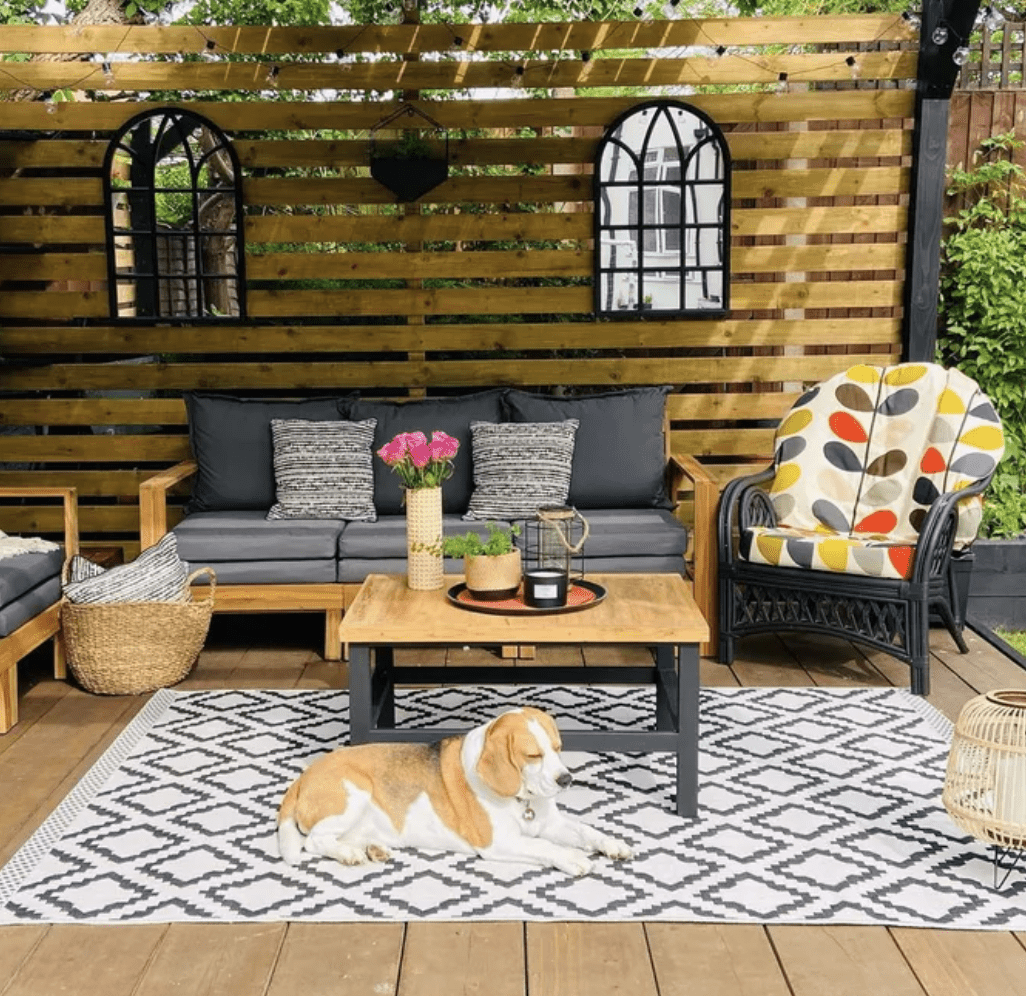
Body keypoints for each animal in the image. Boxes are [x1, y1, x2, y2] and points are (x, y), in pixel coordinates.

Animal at [281, 705, 632, 878]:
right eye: (533, 755)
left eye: (559, 747)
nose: (566, 779)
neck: (523, 800)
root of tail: (304, 775)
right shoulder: (499, 842)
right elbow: (546, 847)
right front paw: (572, 858)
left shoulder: (552, 824)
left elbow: (587, 830)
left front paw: (612, 843)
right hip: (356, 792)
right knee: (314, 841)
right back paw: (350, 854)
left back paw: (372, 849)